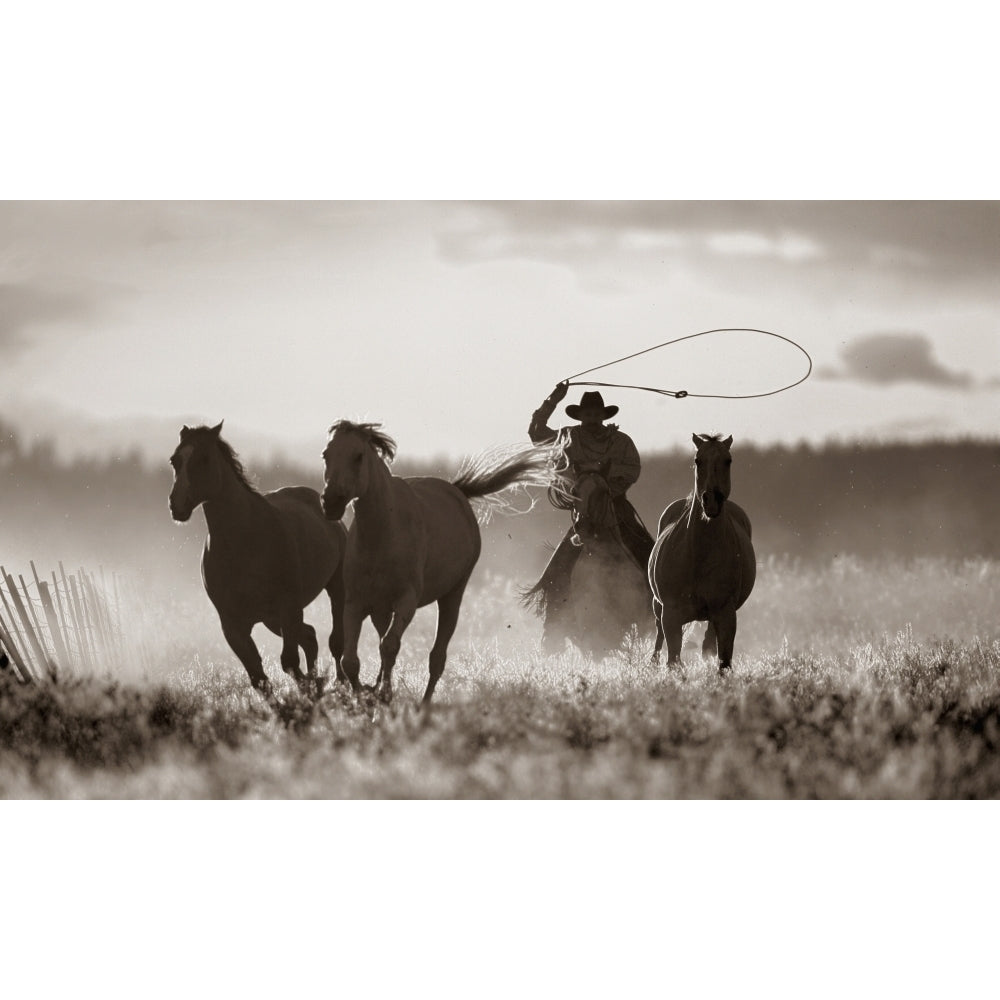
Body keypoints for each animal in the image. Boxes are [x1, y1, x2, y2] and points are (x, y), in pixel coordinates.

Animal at [169, 422, 348, 696]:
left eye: (204, 458)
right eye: (175, 460)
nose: (176, 504)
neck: (244, 542)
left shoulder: (288, 608)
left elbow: (289, 663)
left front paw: (310, 689)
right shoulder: (233, 624)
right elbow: (258, 677)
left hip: (331, 589)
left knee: (335, 641)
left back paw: (340, 684)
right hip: (272, 619)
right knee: (309, 636)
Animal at [320, 418, 556, 708]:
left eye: (358, 456)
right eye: (326, 455)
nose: (330, 502)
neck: (383, 534)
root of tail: (457, 491)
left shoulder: (406, 601)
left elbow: (389, 646)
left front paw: (384, 695)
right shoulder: (356, 603)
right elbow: (351, 660)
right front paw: (366, 697)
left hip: (452, 596)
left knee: (436, 657)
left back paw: (423, 705)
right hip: (380, 609)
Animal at [652, 432, 752, 672]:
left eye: (728, 460)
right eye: (698, 460)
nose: (712, 500)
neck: (698, 555)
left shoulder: (725, 613)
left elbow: (724, 660)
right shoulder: (671, 614)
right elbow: (673, 658)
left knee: (709, 642)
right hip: (658, 607)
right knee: (658, 636)